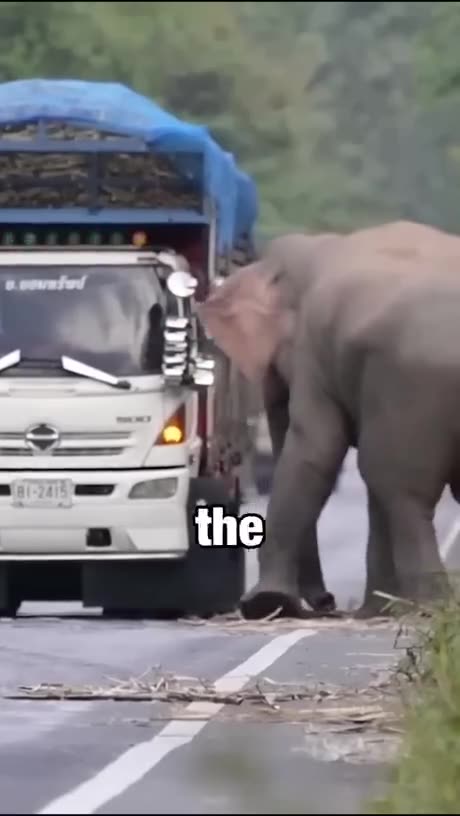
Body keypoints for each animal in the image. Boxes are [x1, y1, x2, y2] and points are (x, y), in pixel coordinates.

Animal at [197, 220, 460, 619]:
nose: (326, 601)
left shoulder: (314, 350)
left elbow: (314, 449)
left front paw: (266, 603)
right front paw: (377, 611)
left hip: (411, 382)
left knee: (400, 489)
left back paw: (428, 607)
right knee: (391, 482)